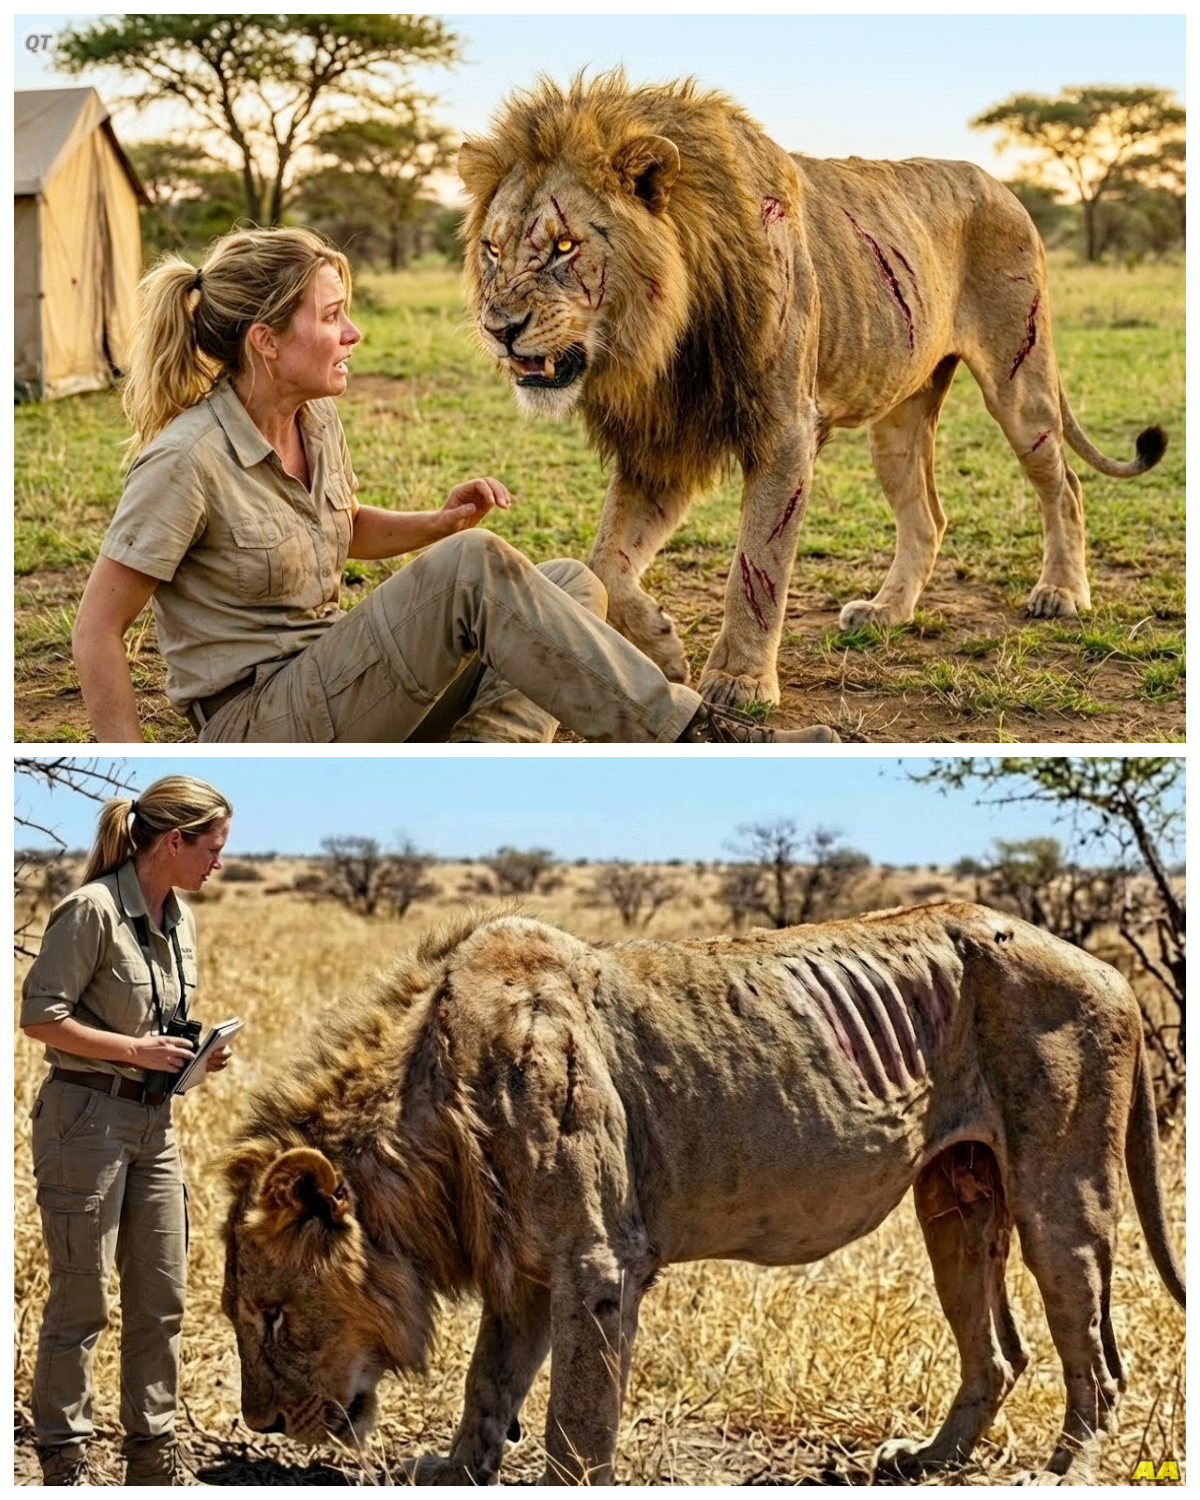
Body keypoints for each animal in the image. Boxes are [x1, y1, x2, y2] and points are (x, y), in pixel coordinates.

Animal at [222, 904, 1184, 1485]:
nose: (262, 1424)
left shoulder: (597, 1262)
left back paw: (1060, 1475)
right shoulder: (525, 1267)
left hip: (1063, 1191)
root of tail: (1111, 972)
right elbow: (488, 1382)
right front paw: (456, 1471)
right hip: (954, 1199)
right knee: (997, 1355)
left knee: (1097, 1358)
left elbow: (576, 1416)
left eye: (270, 1315)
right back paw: (922, 1461)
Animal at [457, 73, 1168, 710]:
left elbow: (757, 569)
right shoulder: (664, 442)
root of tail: (1003, 186)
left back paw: (1062, 594)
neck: (660, 344)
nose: (498, 329)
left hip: (1020, 377)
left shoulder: (785, 430)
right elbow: (606, 560)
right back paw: (885, 611)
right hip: (898, 419)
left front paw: (739, 683)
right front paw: (663, 647)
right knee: (928, 515)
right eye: (491, 249)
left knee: (1064, 485)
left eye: (564, 246)